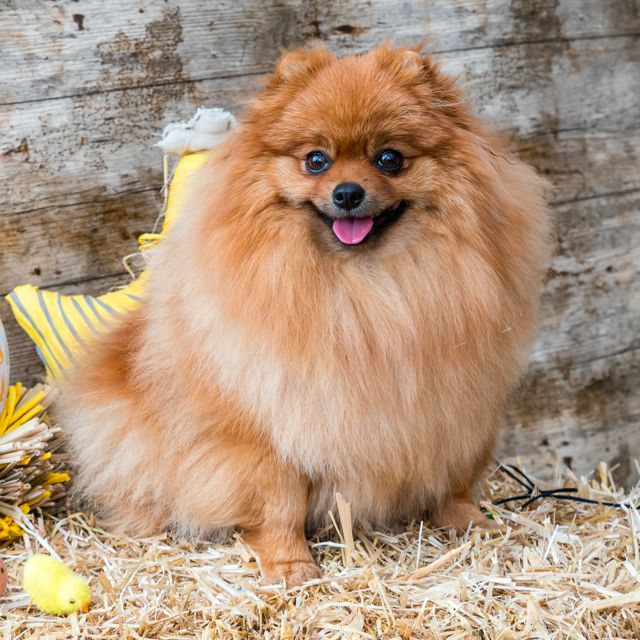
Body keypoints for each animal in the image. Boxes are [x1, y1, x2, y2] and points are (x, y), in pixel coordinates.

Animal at [58, 45, 552, 584]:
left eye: (390, 159)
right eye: (316, 160)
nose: (347, 192)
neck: (368, 290)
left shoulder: (453, 406)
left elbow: (453, 480)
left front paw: (472, 524)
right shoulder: (265, 427)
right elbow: (279, 503)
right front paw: (290, 564)